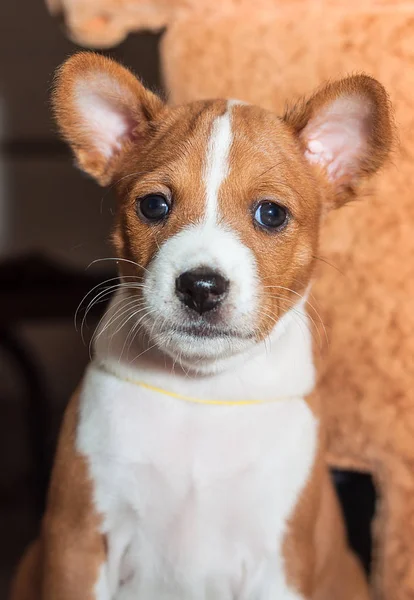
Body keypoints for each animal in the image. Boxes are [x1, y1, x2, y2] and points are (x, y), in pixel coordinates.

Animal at [9, 52, 392, 600]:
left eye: (271, 214)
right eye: (154, 205)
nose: (201, 286)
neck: (202, 394)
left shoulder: (279, 564)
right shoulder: (77, 544)